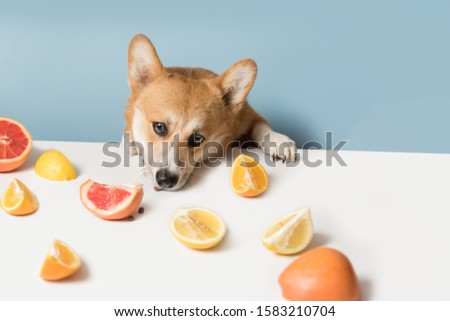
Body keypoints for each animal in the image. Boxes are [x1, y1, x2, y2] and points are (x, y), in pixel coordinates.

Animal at [125, 34, 298, 190]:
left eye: (197, 139)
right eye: (159, 127)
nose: (166, 180)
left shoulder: (249, 115)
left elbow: (261, 127)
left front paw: (279, 141)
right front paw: (131, 145)